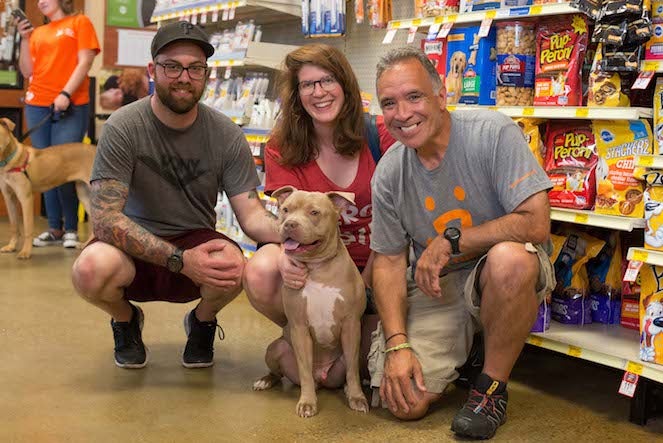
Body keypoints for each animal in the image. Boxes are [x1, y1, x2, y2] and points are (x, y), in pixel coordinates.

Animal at [0, 117, 96, 260]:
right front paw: (11, 246)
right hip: (84, 194)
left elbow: (27, 227)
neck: (9, 159)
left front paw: (25, 251)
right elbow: (14, 225)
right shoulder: (9, 198)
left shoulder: (25, 198)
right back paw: (86, 244)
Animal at [252, 186, 370, 418]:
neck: (317, 267)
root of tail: (322, 379)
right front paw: (307, 402)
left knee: (349, 370)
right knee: (281, 372)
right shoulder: (299, 327)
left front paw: (357, 397)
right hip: (276, 348)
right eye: (285, 210)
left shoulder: (351, 325)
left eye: (314, 212)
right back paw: (265, 380)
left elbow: (352, 371)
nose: (289, 224)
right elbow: (305, 370)